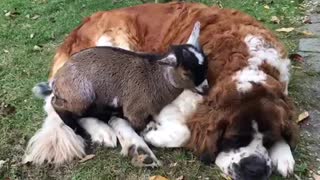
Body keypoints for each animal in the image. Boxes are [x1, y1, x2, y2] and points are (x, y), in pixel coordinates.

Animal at [51, 21, 206, 136]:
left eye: (206, 62)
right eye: (186, 72)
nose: (205, 88)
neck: (156, 78)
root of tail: (58, 78)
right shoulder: (135, 110)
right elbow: (140, 126)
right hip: (81, 95)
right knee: (58, 105)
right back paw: (77, 129)